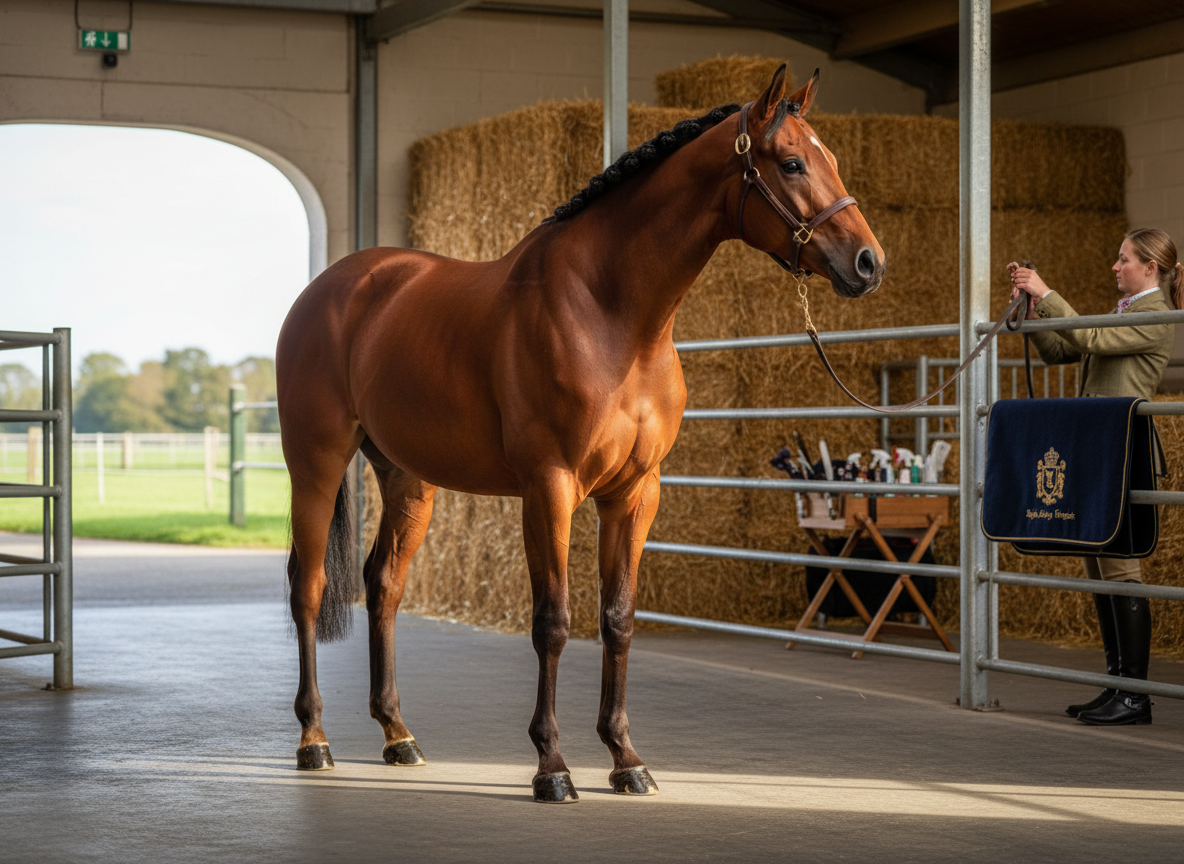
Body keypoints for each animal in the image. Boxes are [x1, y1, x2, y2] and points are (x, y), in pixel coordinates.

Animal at [275, 64, 884, 804]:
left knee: (383, 584)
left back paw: (398, 736)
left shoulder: (636, 494)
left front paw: (625, 758)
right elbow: (554, 621)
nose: (867, 262)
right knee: (308, 586)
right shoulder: (550, 488)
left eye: (832, 158)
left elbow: (617, 620)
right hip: (316, 463)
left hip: (407, 478)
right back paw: (314, 741)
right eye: (792, 162)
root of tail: (330, 288)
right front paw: (552, 767)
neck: (610, 315)